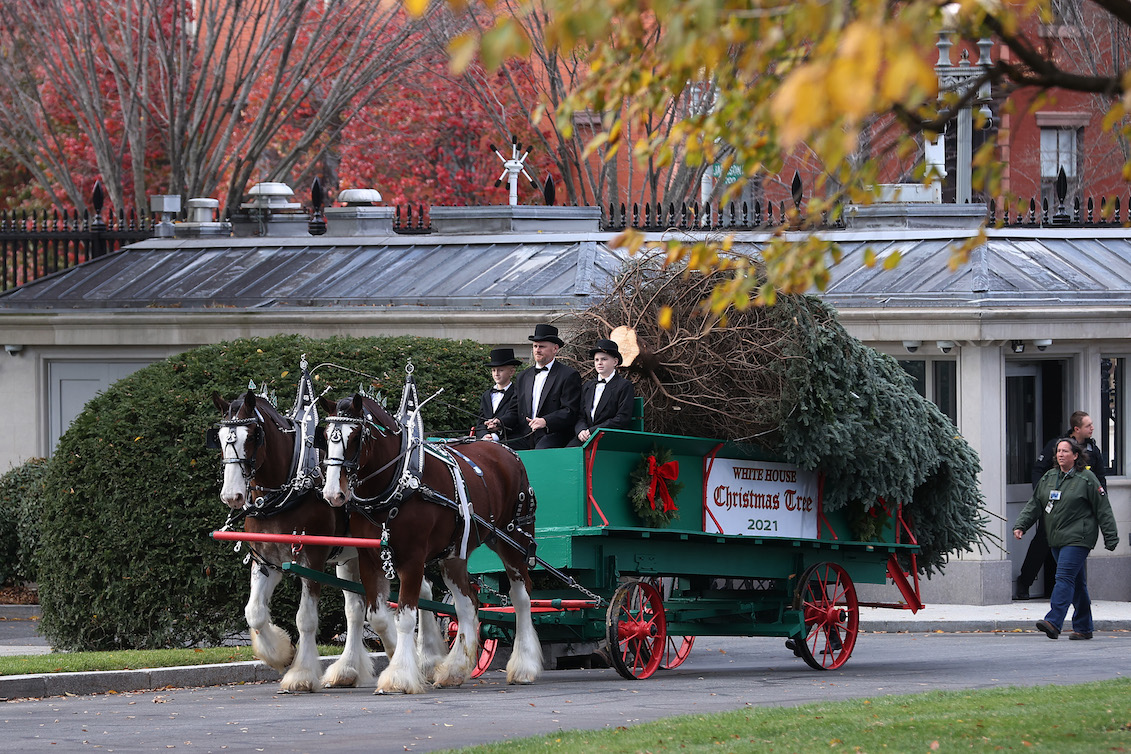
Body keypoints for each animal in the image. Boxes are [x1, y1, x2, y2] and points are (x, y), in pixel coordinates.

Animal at [321, 395, 545, 696]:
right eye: (325, 436)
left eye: (355, 436)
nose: (333, 493)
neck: (398, 482)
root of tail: (508, 451)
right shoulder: (369, 558)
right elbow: (377, 615)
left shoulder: (412, 560)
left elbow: (405, 617)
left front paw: (400, 676)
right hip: (454, 554)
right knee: (468, 603)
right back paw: (455, 670)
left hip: (513, 541)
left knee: (521, 598)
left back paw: (523, 666)